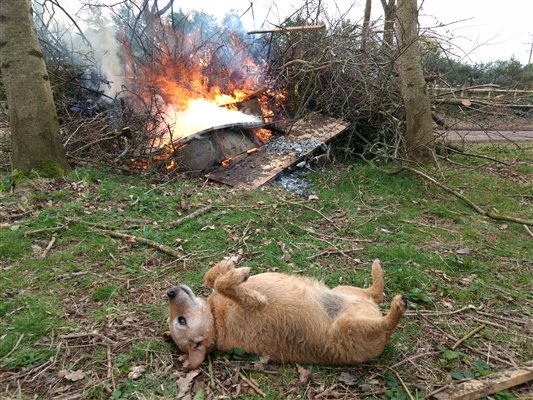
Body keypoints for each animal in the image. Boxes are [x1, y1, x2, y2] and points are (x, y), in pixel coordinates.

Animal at [165, 258, 404, 368]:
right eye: (181, 321)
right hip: (349, 328)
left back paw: (376, 269)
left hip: (344, 291)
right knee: (386, 322)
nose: (170, 292)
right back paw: (397, 307)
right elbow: (224, 285)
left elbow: (211, 278)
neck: (216, 319)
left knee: (376, 293)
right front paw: (243, 282)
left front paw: (227, 266)